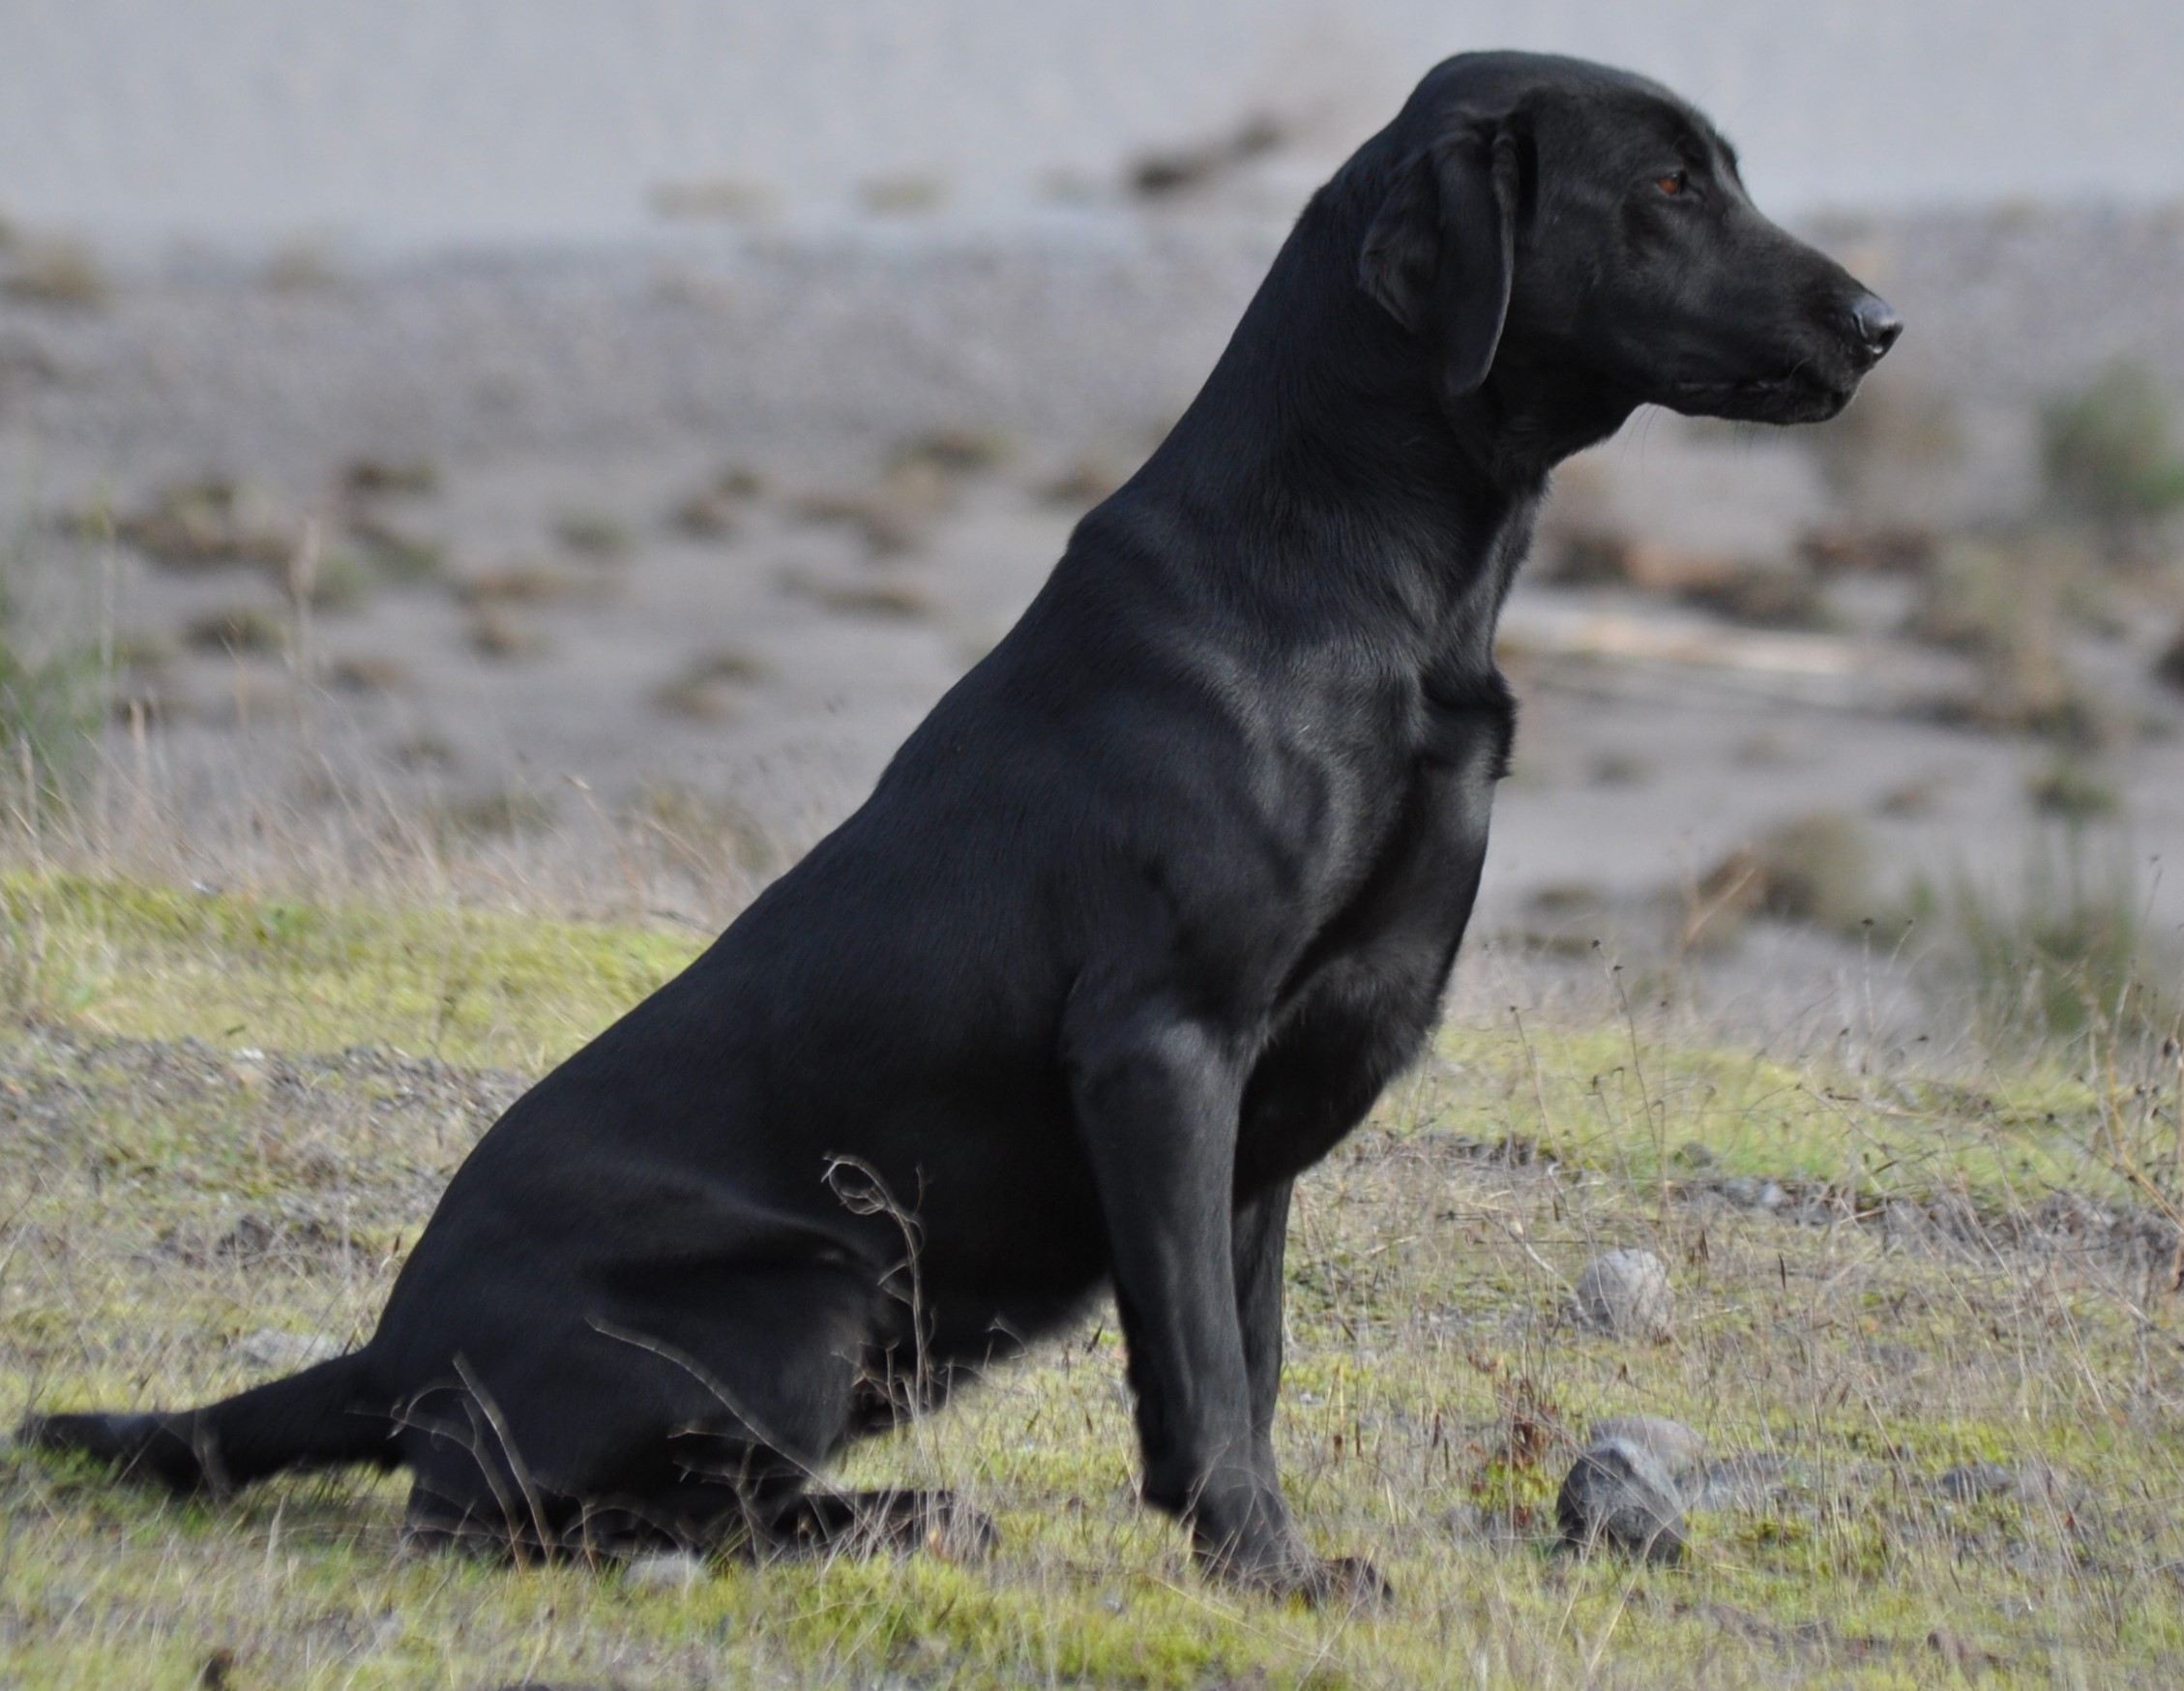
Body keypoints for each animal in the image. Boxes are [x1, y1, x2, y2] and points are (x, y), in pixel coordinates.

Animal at [25, 56, 1895, 1599]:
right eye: (1665, 187)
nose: (1881, 319)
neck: (1360, 559)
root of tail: (388, 1344)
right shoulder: (1161, 1044)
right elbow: (1202, 1367)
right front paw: (1271, 1572)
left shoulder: (1265, 1108)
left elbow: (1248, 1351)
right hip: (811, 1284)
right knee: (496, 1507)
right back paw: (861, 1522)